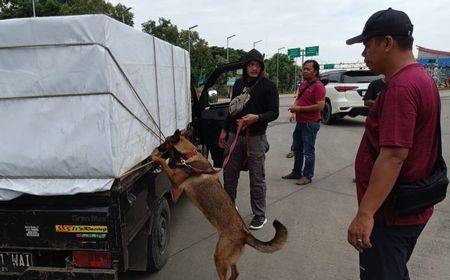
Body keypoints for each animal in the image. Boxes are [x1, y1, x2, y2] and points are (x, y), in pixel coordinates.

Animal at [151, 130, 288, 278]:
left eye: (166, 141)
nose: (158, 147)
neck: (188, 155)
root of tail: (244, 233)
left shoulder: (175, 179)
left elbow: (163, 163)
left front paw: (153, 156)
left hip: (219, 257)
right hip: (229, 258)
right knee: (236, 273)